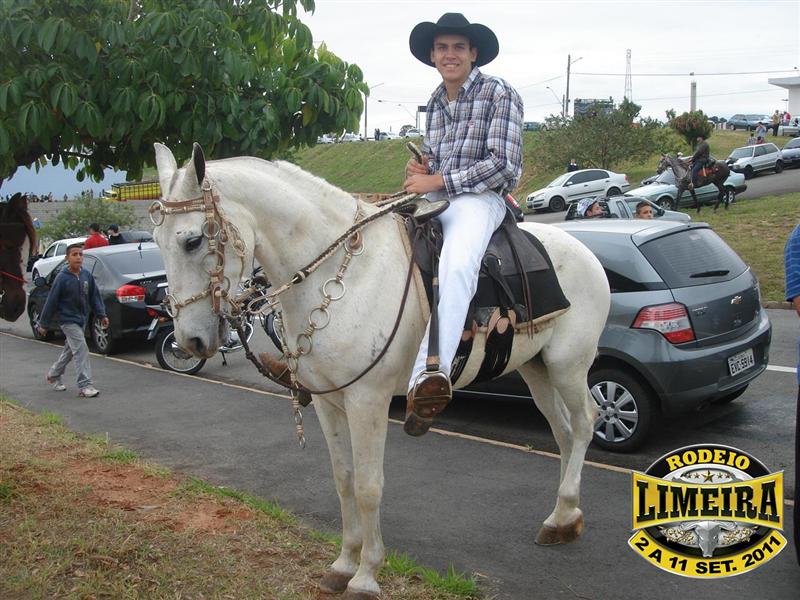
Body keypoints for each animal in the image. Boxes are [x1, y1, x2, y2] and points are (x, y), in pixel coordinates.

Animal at [152, 143, 610, 599]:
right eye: (156, 241)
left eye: (192, 240)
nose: (189, 341)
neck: (341, 272)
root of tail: (584, 250)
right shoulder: (328, 401)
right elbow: (343, 479)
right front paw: (342, 563)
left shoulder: (366, 400)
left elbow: (368, 487)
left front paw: (366, 575)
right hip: (536, 368)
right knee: (562, 431)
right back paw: (563, 516)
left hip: (568, 365)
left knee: (584, 422)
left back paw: (564, 513)